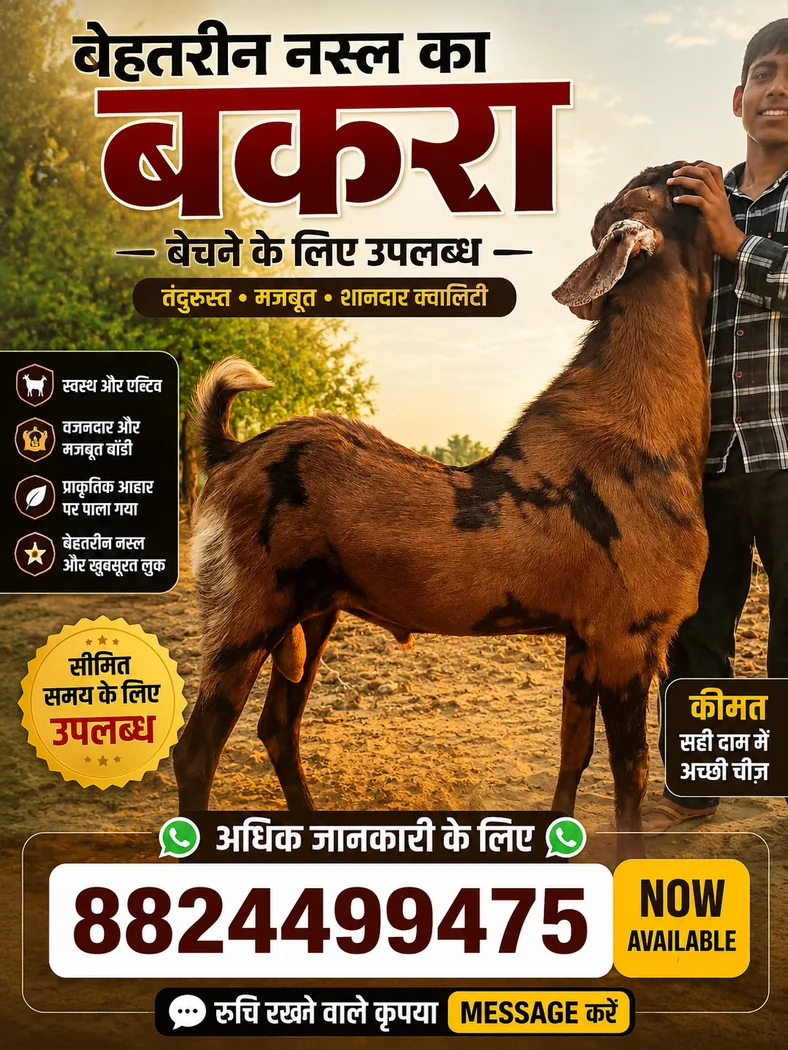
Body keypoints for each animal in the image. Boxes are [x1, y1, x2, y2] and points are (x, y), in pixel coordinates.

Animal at [173, 163, 713, 859]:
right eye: (667, 180)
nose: (705, 169)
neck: (644, 420)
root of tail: (231, 449)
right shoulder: (628, 641)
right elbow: (630, 777)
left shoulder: (584, 639)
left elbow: (574, 752)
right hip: (245, 617)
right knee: (197, 752)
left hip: (311, 614)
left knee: (277, 728)